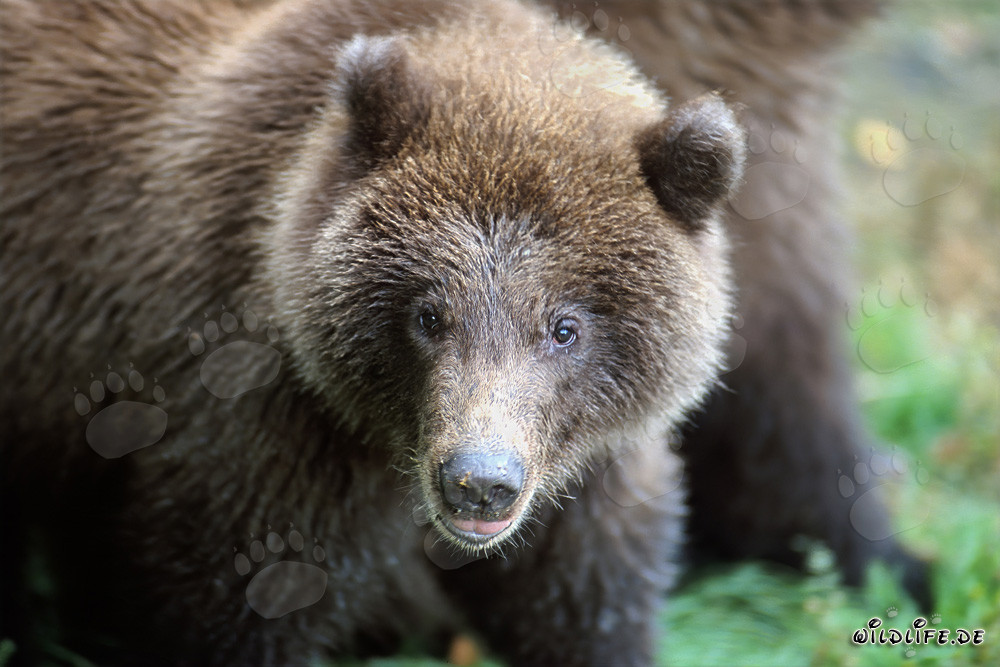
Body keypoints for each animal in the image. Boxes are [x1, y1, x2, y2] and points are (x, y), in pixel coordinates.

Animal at [0, 0, 929, 665]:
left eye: (566, 326)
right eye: (427, 313)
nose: (479, 481)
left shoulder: (581, 477)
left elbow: (590, 596)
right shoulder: (262, 411)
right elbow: (225, 599)